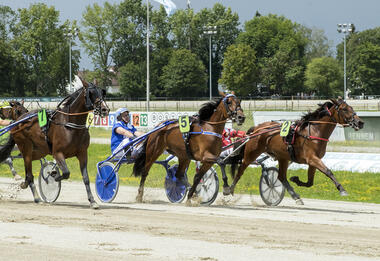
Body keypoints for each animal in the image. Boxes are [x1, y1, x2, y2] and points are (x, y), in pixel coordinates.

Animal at [0, 79, 110, 207]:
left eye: (102, 92)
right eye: (91, 93)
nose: (105, 109)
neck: (70, 125)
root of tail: (17, 121)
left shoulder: (83, 153)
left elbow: (86, 178)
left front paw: (92, 201)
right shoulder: (57, 153)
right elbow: (66, 173)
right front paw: (53, 175)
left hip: (39, 151)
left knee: (28, 173)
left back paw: (31, 190)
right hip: (25, 148)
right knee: (29, 174)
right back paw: (33, 193)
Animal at [227, 98, 364, 204]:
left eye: (351, 107)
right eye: (345, 109)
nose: (360, 122)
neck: (314, 131)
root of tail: (256, 128)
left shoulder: (313, 161)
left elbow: (310, 182)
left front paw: (295, 179)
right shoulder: (312, 158)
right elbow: (328, 172)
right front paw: (342, 190)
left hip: (283, 157)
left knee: (281, 177)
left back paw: (295, 196)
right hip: (251, 153)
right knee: (240, 170)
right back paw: (229, 191)